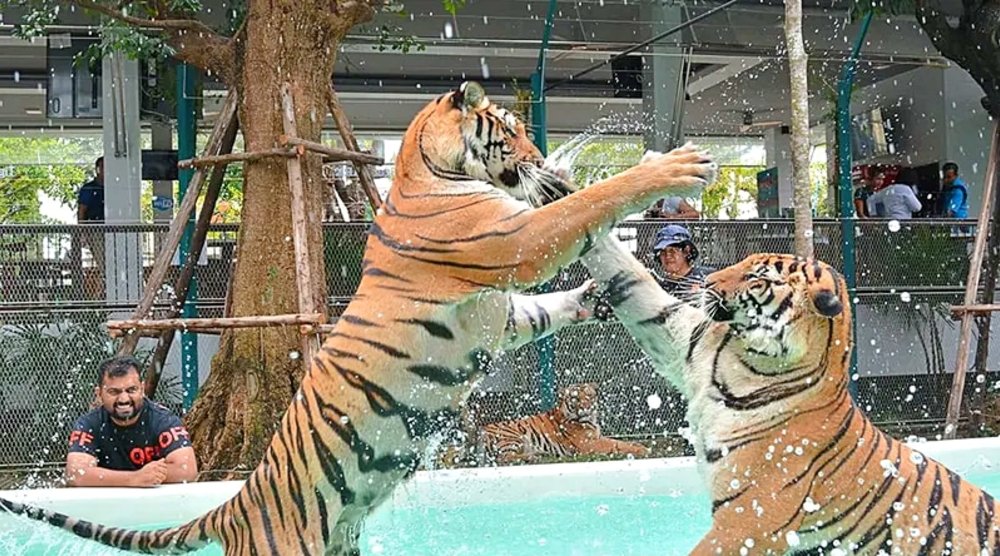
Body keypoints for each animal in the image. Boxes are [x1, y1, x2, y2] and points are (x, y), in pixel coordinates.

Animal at [476, 382, 649, 465]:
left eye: (588, 396)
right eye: (575, 398)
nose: (585, 408)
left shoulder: (598, 437)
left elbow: (620, 441)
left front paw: (638, 444)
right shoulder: (590, 443)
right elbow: (617, 445)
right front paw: (643, 449)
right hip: (512, 434)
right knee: (503, 458)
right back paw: (535, 456)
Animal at [578, 227, 1000, 554]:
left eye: (756, 277)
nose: (707, 283)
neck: (740, 363)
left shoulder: (746, 523)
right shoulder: (682, 337)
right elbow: (629, 278)